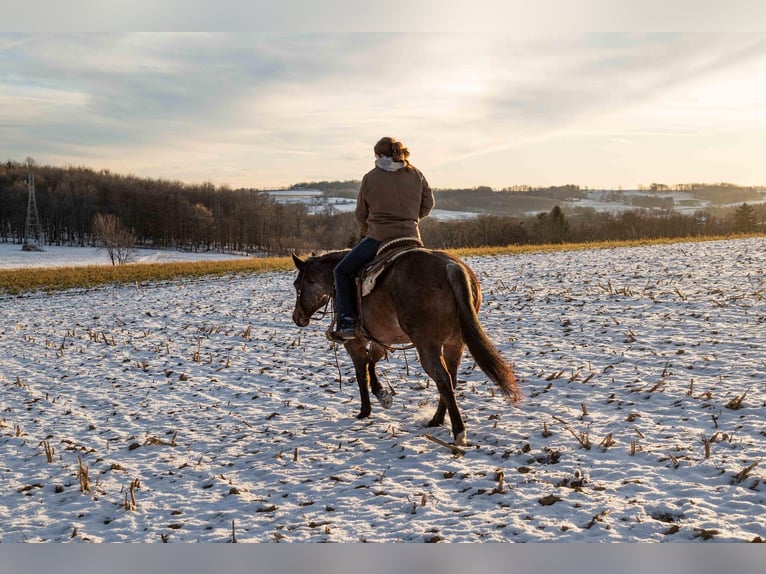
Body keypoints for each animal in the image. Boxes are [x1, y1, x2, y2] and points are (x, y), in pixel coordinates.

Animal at [291, 247, 521, 446]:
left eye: (297, 285)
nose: (297, 317)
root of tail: (451, 267)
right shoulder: (383, 338)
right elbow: (372, 361)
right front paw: (382, 394)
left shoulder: (355, 342)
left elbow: (361, 372)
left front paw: (365, 410)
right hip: (455, 344)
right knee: (451, 379)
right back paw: (436, 420)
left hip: (427, 346)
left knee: (443, 379)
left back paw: (458, 432)